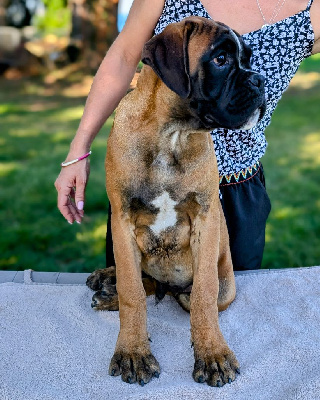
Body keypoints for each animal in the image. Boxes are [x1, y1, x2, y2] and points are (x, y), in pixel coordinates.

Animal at [86, 16, 266, 388]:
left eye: (248, 60)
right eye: (221, 59)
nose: (261, 80)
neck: (172, 134)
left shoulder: (206, 219)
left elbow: (203, 297)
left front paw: (212, 354)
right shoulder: (122, 219)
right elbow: (132, 293)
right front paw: (133, 351)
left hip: (222, 284)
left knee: (184, 292)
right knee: (141, 282)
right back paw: (109, 283)